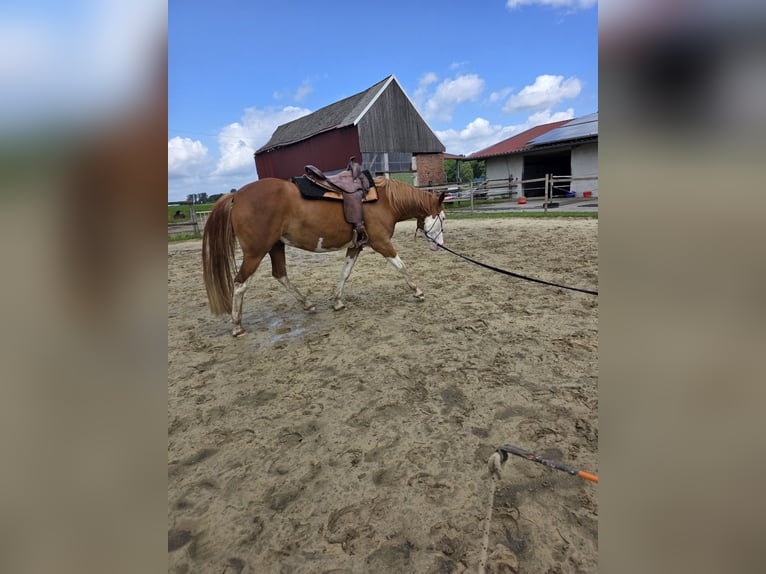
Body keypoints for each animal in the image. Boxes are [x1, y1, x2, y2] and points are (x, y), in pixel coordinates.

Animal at [202, 175, 446, 337]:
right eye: (442, 217)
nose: (440, 246)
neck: (384, 200)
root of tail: (237, 195)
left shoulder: (356, 246)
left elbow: (345, 273)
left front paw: (337, 301)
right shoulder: (381, 243)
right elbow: (401, 266)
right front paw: (418, 291)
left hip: (276, 247)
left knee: (280, 274)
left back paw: (308, 304)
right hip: (256, 252)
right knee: (240, 283)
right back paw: (236, 325)